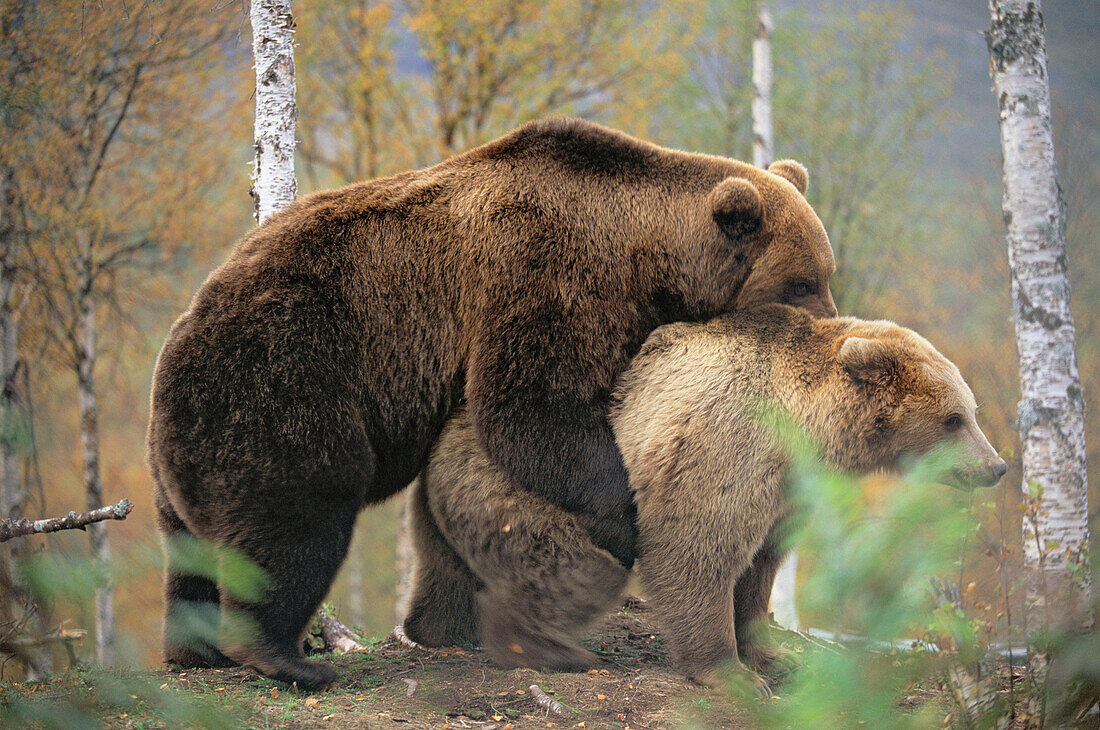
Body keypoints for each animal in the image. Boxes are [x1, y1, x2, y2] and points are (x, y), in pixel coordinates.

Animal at [146, 119, 831, 690]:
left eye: (823, 270)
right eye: (802, 281)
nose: (828, 315)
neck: (643, 256)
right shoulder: (547, 280)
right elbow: (531, 413)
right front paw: (620, 522)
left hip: (188, 447)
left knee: (191, 552)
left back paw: (194, 648)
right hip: (281, 382)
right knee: (296, 521)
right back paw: (286, 659)